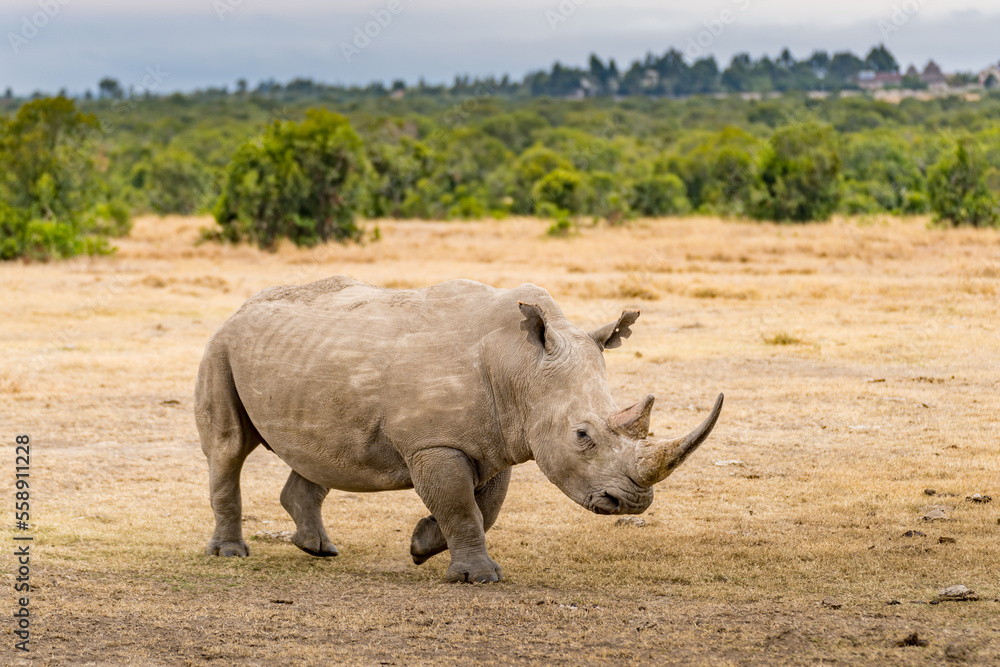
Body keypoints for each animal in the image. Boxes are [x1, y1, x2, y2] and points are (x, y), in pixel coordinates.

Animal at [195, 276, 723, 583]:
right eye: (582, 436)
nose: (631, 503)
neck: (520, 366)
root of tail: (242, 306)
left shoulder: (498, 440)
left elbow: (483, 508)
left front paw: (421, 545)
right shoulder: (436, 444)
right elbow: (461, 505)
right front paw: (478, 578)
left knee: (318, 452)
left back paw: (319, 550)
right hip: (220, 345)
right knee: (228, 448)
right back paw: (230, 555)